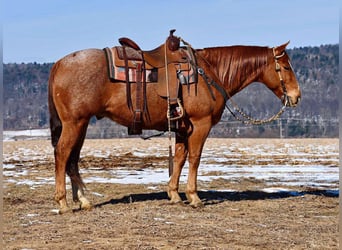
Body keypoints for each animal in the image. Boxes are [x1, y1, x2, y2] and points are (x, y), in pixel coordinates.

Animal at [47, 37, 300, 213]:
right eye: (286, 67)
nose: (296, 96)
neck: (210, 72)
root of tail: (58, 64)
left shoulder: (181, 128)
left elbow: (178, 158)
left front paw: (174, 194)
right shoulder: (200, 124)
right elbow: (195, 158)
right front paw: (194, 197)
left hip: (81, 124)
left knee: (72, 159)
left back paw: (83, 200)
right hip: (74, 123)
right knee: (62, 154)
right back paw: (63, 203)